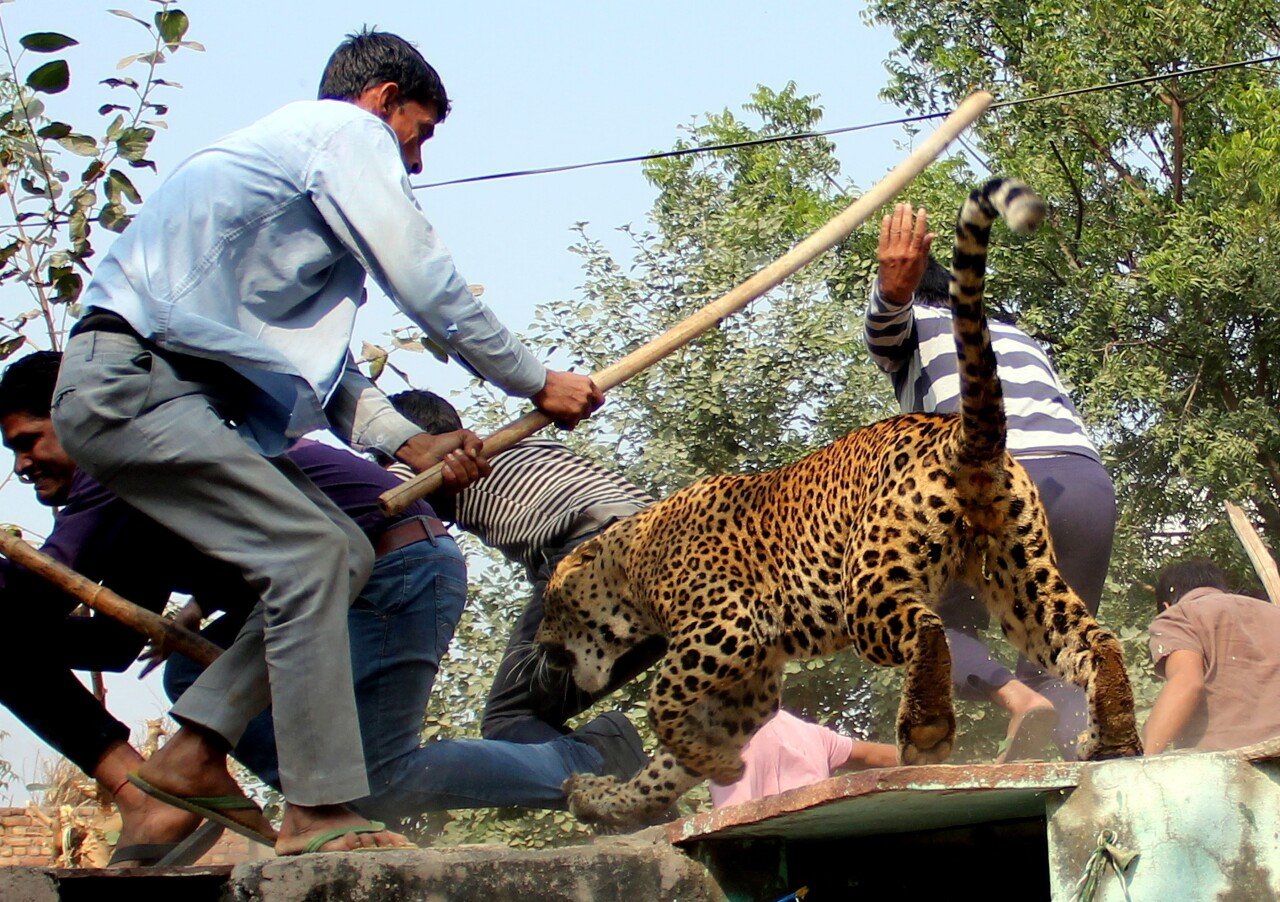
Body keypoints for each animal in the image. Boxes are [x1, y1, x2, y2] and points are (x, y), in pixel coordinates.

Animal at [535, 172, 1146, 829]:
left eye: (550, 602)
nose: (540, 647)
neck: (633, 566)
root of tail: (958, 434)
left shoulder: (726, 627)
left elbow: (661, 700)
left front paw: (716, 766)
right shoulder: (744, 688)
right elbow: (664, 767)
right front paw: (605, 796)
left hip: (872, 586)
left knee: (929, 629)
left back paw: (927, 731)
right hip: (1024, 577)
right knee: (1090, 641)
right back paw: (1109, 738)